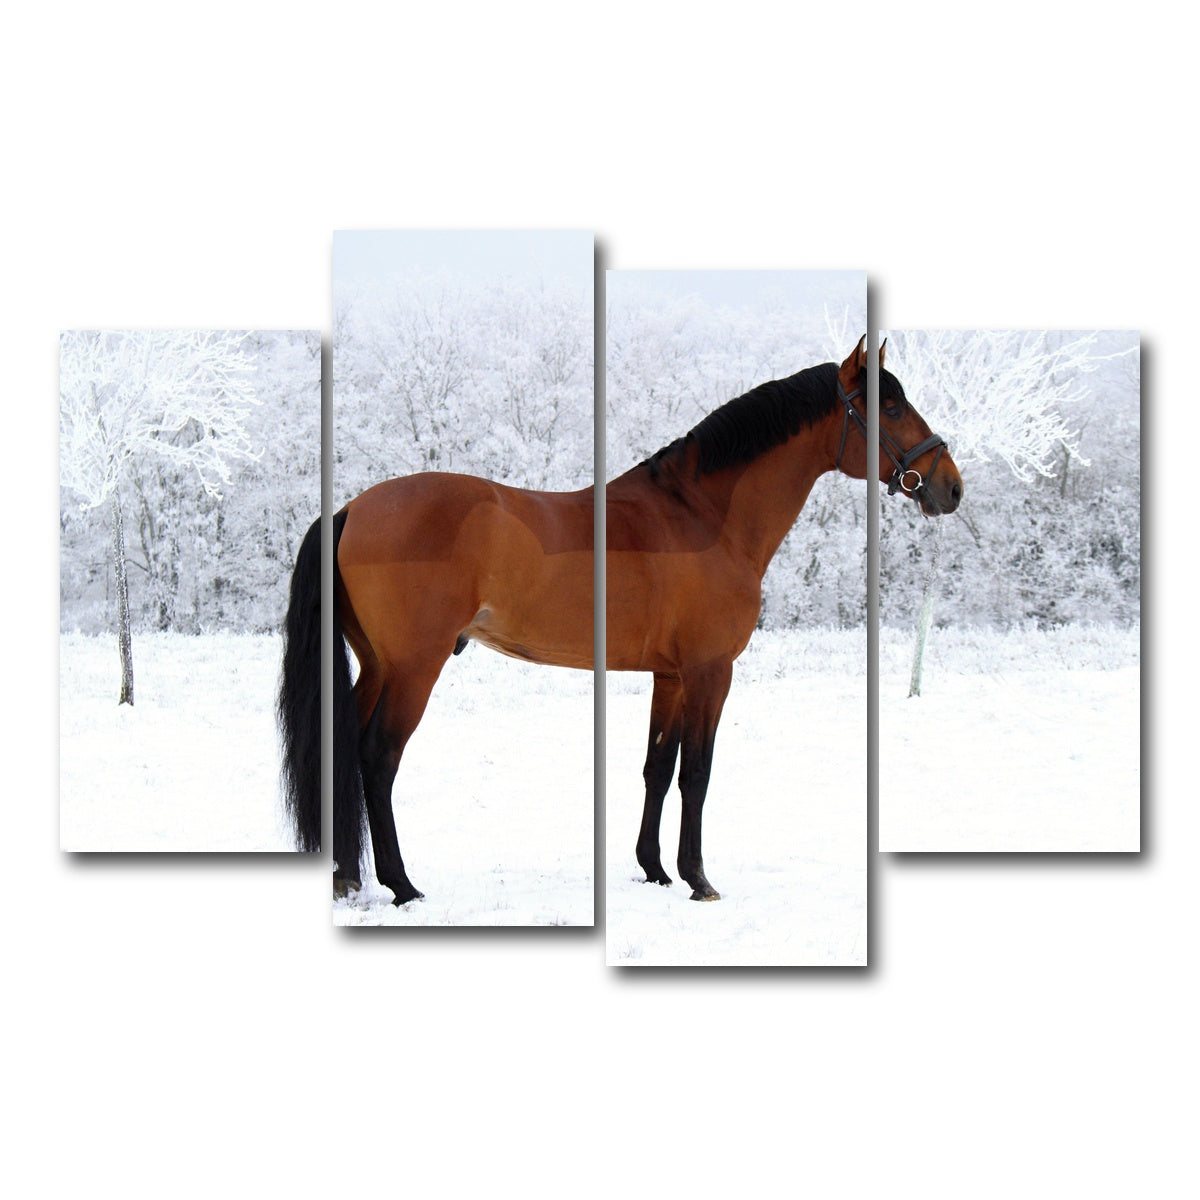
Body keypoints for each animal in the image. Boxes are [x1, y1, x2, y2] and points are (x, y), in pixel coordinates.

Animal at [278, 468, 595, 904]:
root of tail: (349, 510)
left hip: (377, 668)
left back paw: (345, 873)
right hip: (411, 674)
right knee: (377, 754)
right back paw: (400, 884)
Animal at [606, 336, 961, 900]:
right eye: (890, 407)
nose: (952, 486)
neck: (700, 519)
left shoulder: (671, 675)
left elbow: (658, 768)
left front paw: (655, 870)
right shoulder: (710, 671)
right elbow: (696, 773)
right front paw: (697, 878)